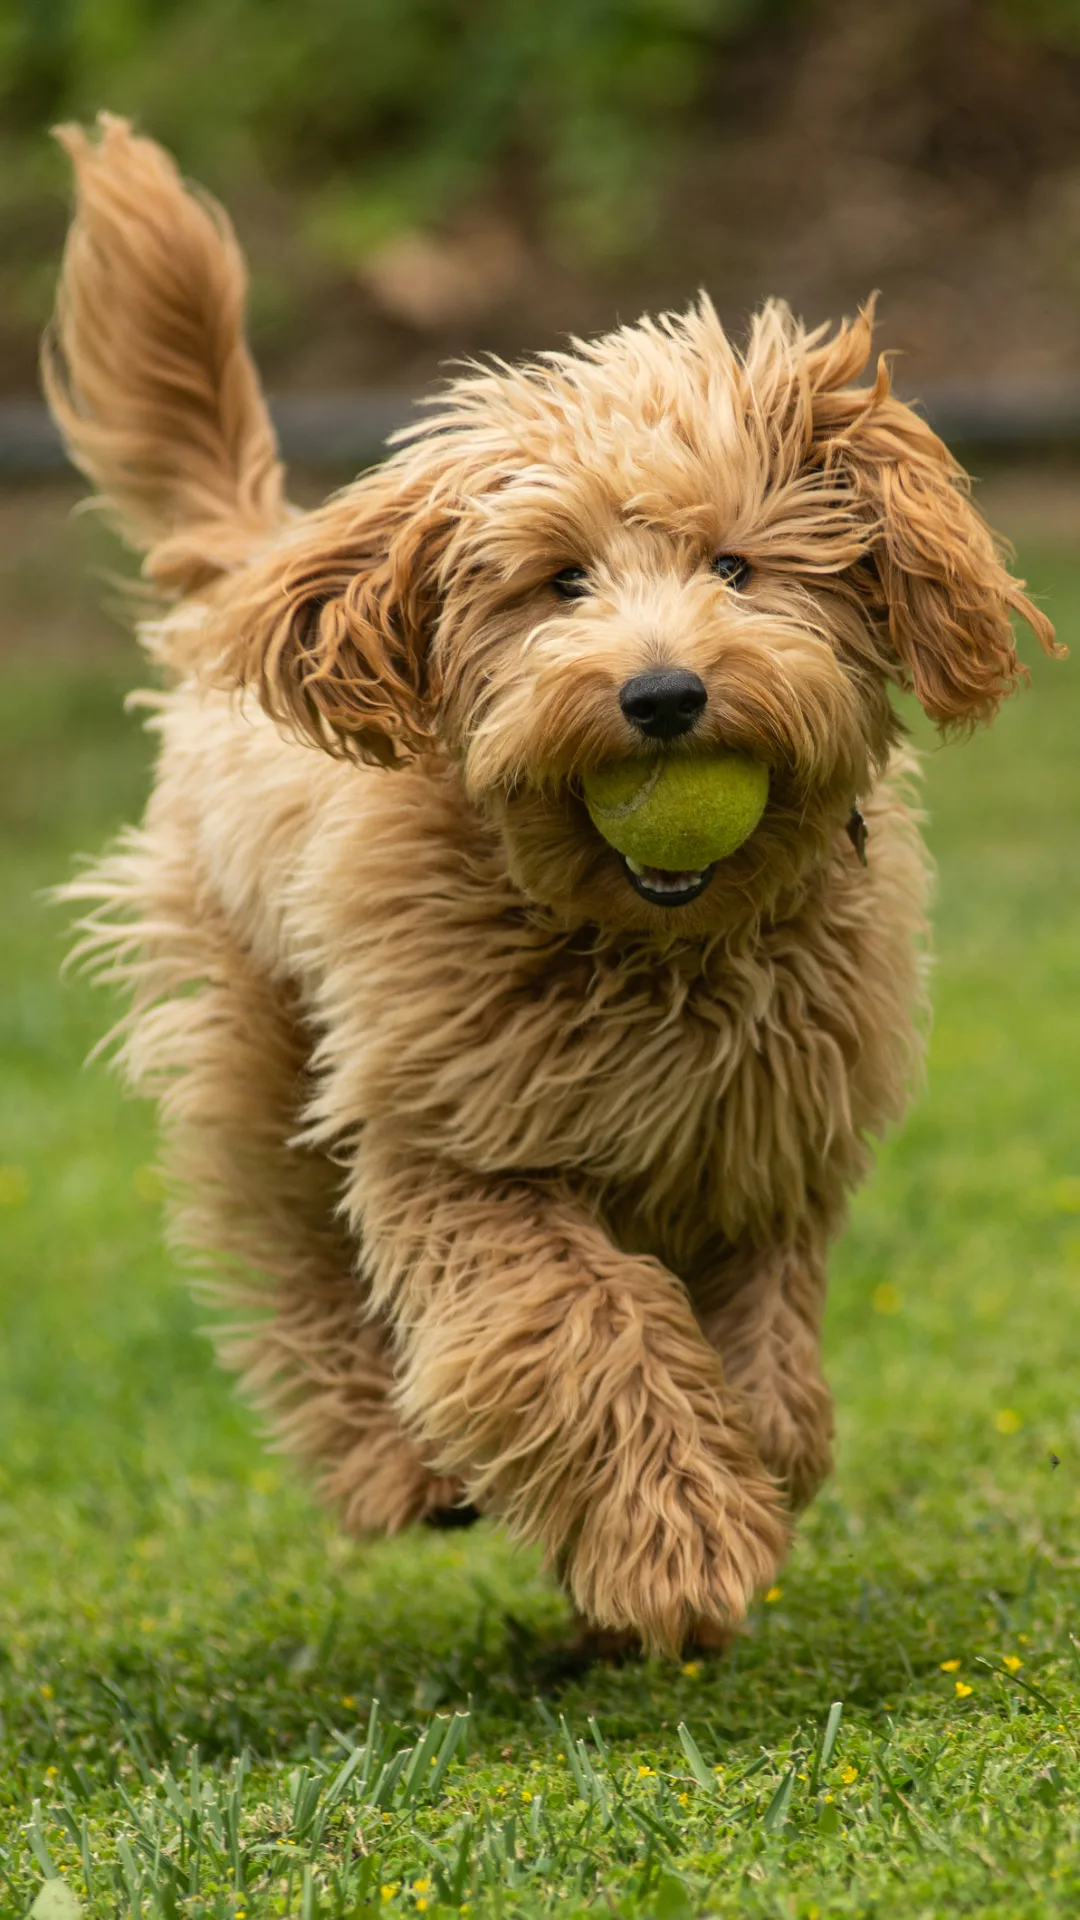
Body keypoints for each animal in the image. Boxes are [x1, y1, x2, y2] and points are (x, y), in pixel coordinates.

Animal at [48, 116, 1053, 1651]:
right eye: (559, 583)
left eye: (737, 566)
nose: (662, 695)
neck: (645, 942)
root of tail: (261, 561)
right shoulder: (464, 1150)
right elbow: (575, 1331)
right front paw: (679, 1546)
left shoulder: (762, 1159)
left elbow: (779, 1391)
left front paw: (708, 1501)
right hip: (257, 1040)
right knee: (289, 1248)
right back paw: (395, 1459)